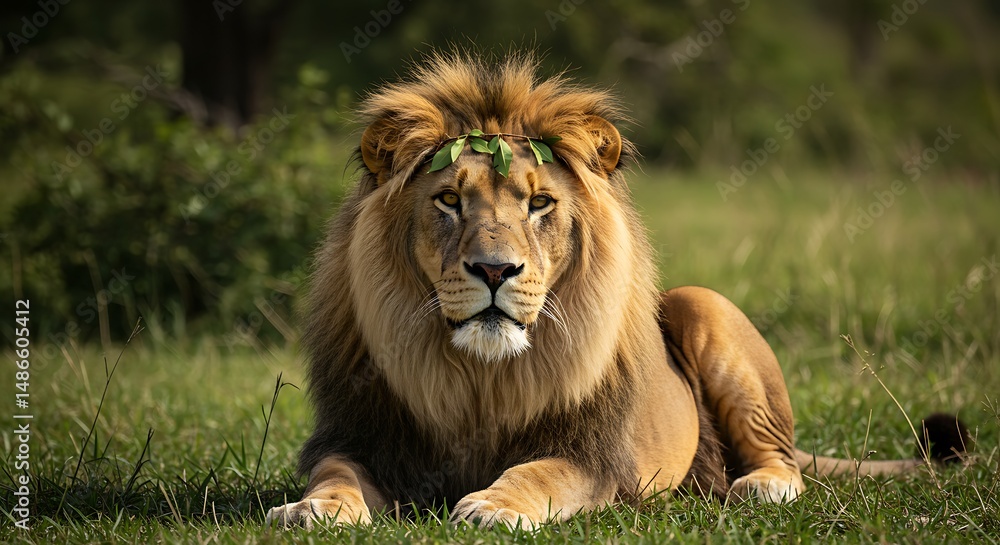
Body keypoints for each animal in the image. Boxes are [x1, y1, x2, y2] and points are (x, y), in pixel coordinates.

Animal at [266, 52, 967, 530]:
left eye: (539, 204)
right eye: (448, 200)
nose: (494, 270)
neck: (480, 379)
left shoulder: (592, 457)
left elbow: (538, 470)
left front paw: (494, 504)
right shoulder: (360, 435)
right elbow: (336, 474)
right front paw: (312, 509)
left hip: (702, 303)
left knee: (783, 458)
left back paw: (761, 486)